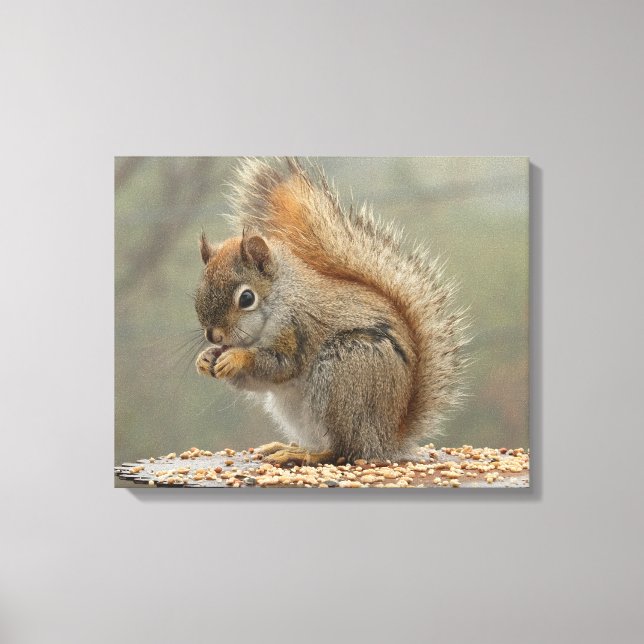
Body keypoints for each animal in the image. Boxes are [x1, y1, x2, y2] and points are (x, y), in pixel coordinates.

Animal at [194, 158, 467, 465]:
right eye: (199, 288)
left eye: (247, 298)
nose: (214, 336)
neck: (281, 297)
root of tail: (387, 437)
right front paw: (205, 358)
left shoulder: (298, 328)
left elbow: (280, 366)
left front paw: (236, 357)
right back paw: (288, 447)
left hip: (345, 372)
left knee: (343, 449)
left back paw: (304, 454)